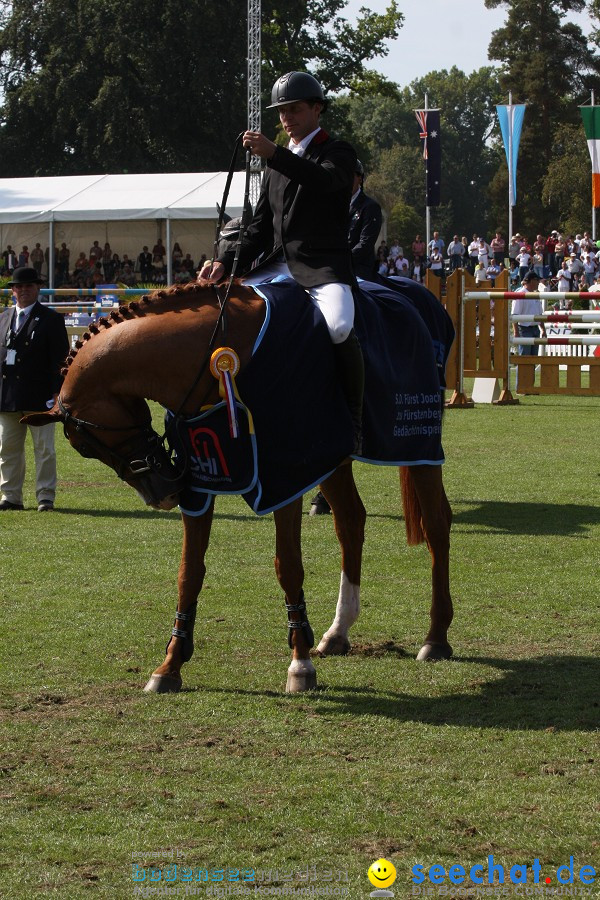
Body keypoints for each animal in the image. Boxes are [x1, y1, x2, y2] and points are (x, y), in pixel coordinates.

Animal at [24, 284, 454, 692]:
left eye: (85, 444)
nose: (161, 494)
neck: (215, 359)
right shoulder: (200, 484)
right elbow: (189, 571)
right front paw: (170, 665)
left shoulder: (285, 478)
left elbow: (288, 566)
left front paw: (300, 664)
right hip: (333, 462)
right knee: (351, 522)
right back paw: (337, 632)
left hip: (418, 448)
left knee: (436, 524)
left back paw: (435, 638)